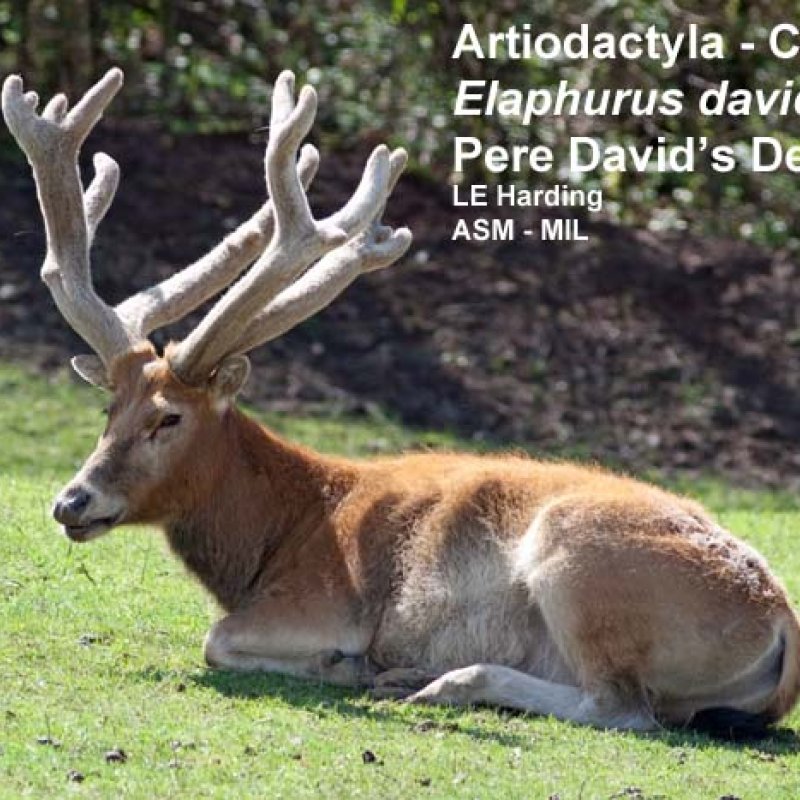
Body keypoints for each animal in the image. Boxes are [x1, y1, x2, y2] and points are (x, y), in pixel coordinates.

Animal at [3, 68, 799, 739]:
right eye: (108, 410)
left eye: (169, 416)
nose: (71, 501)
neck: (280, 533)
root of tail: (781, 623)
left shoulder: (321, 604)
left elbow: (216, 641)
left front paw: (344, 666)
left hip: (580, 563)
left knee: (623, 708)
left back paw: (430, 681)